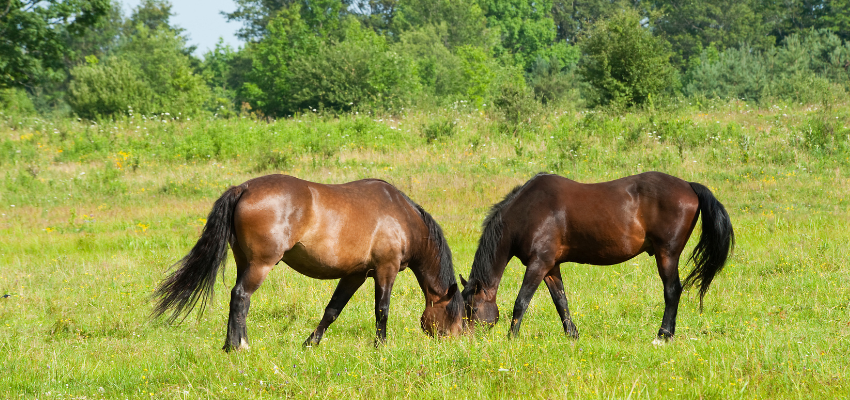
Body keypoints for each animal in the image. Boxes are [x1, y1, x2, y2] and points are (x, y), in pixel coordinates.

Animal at [149, 174, 460, 350]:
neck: (401, 215)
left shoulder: (355, 274)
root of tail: (244, 188)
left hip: (243, 261)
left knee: (237, 298)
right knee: (240, 296)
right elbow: (382, 310)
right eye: (457, 314)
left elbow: (332, 310)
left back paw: (232, 344)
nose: (456, 342)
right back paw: (239, 347)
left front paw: (311, 343)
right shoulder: (386, 269)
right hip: (261, 264)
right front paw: (381, 347)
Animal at [460, 172, 732, 344]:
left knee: (672, 291)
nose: (467, 339)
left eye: (472, 309)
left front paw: (511, 337)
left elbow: (521, 302)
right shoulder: (551, 267)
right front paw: (572, 335)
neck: (527, 212)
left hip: (667, 254)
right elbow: (561, 301)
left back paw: (663, 335)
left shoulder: (538, 264)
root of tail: (689, 185)